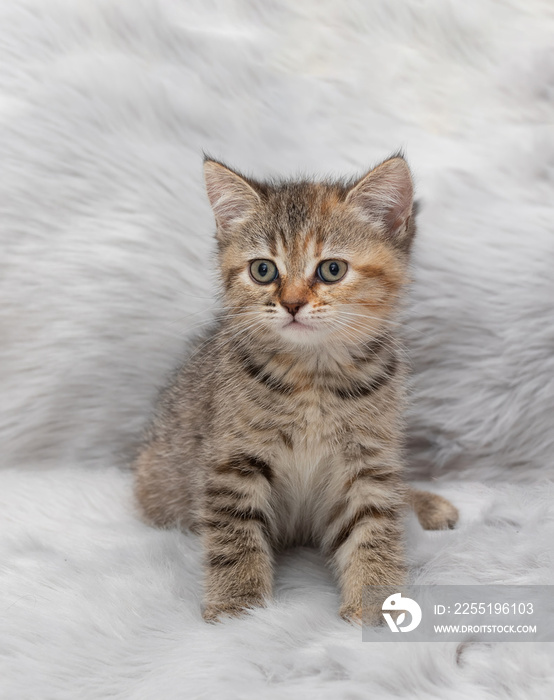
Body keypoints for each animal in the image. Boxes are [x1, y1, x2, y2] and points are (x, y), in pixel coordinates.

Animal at [132, 157, 454, 624]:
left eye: (332, 269)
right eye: (263, 269)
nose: (291, 303)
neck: (313, 377)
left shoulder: (368, 462)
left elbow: (375, 528)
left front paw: (375, 605)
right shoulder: (231, 461)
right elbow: (234, 537)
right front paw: (237, 606)